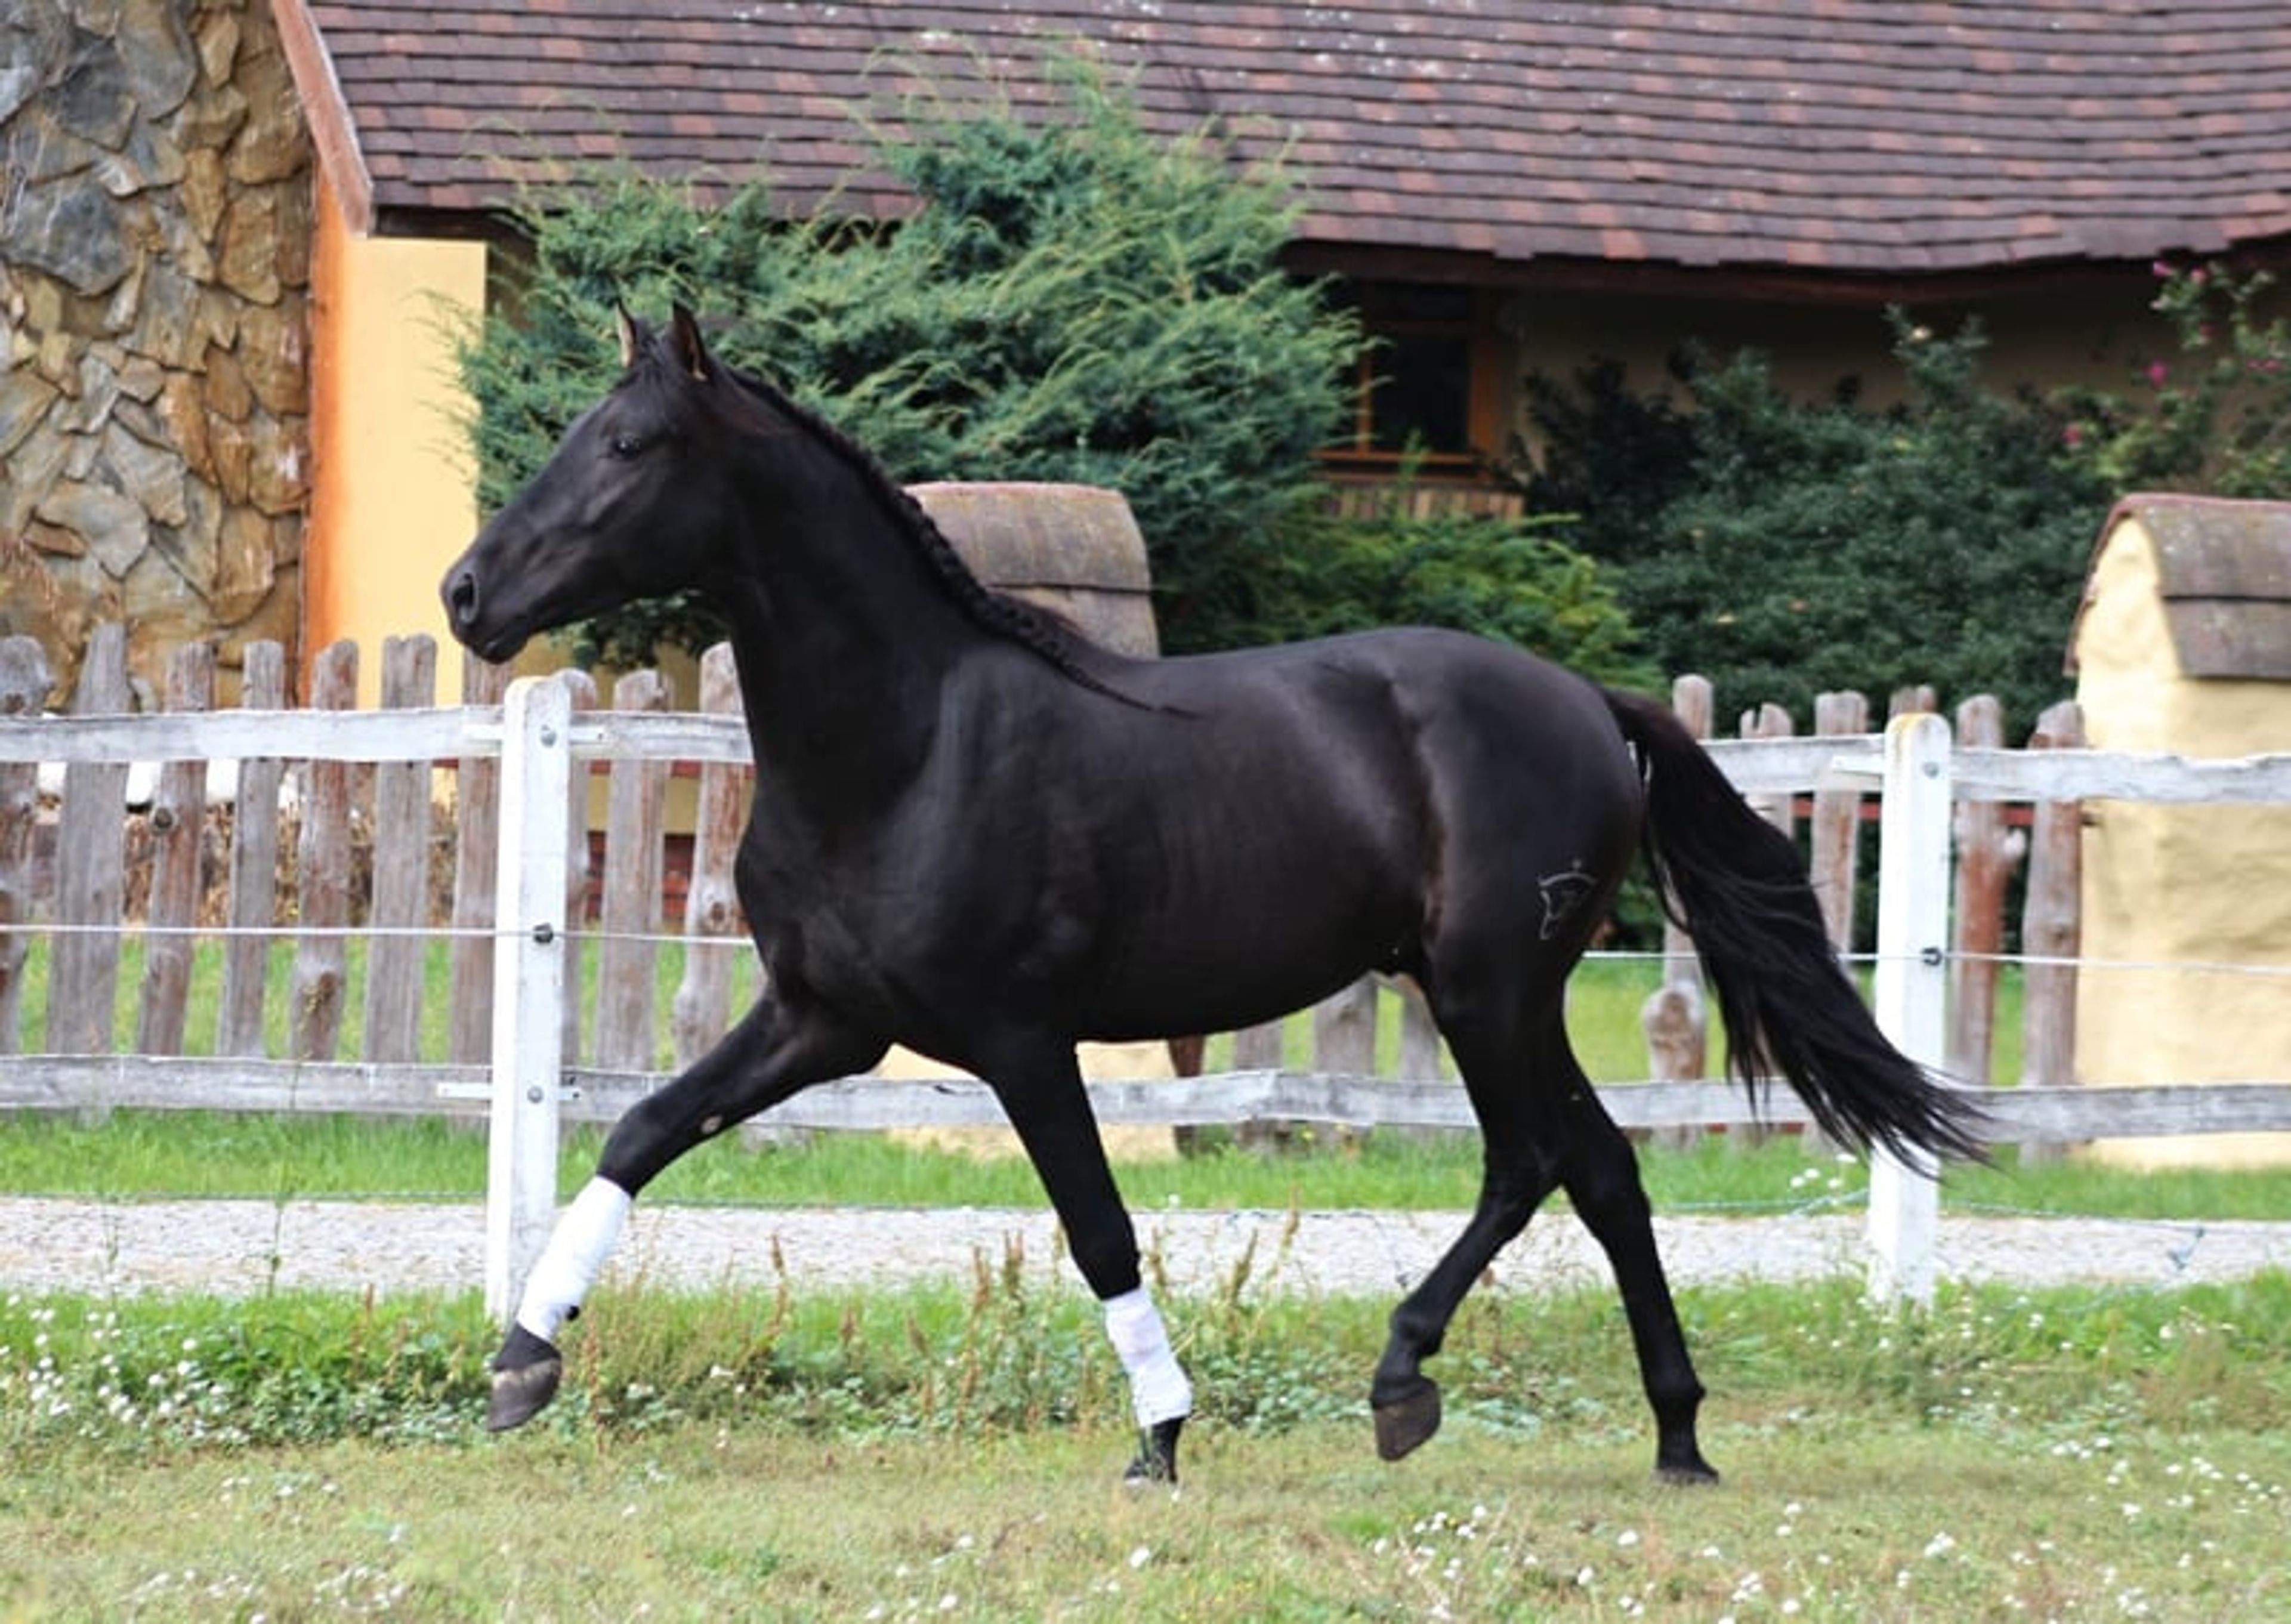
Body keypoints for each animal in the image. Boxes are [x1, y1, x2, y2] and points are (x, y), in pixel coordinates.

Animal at [441, 306, 1987, 1486]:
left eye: (628, 445)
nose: (466, 592)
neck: (910, 742)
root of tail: (1587, 702)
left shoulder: (1019, 1040)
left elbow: (1098, 1228)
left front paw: (1162, 1434)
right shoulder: (823, 1019)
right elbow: (641, 1129)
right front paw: (523, 1358)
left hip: (1489, 987)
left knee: (1533, 1160)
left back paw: (1404, 1380)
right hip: (1503, 995)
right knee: (1601, 1168)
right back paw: (1675, 1438)